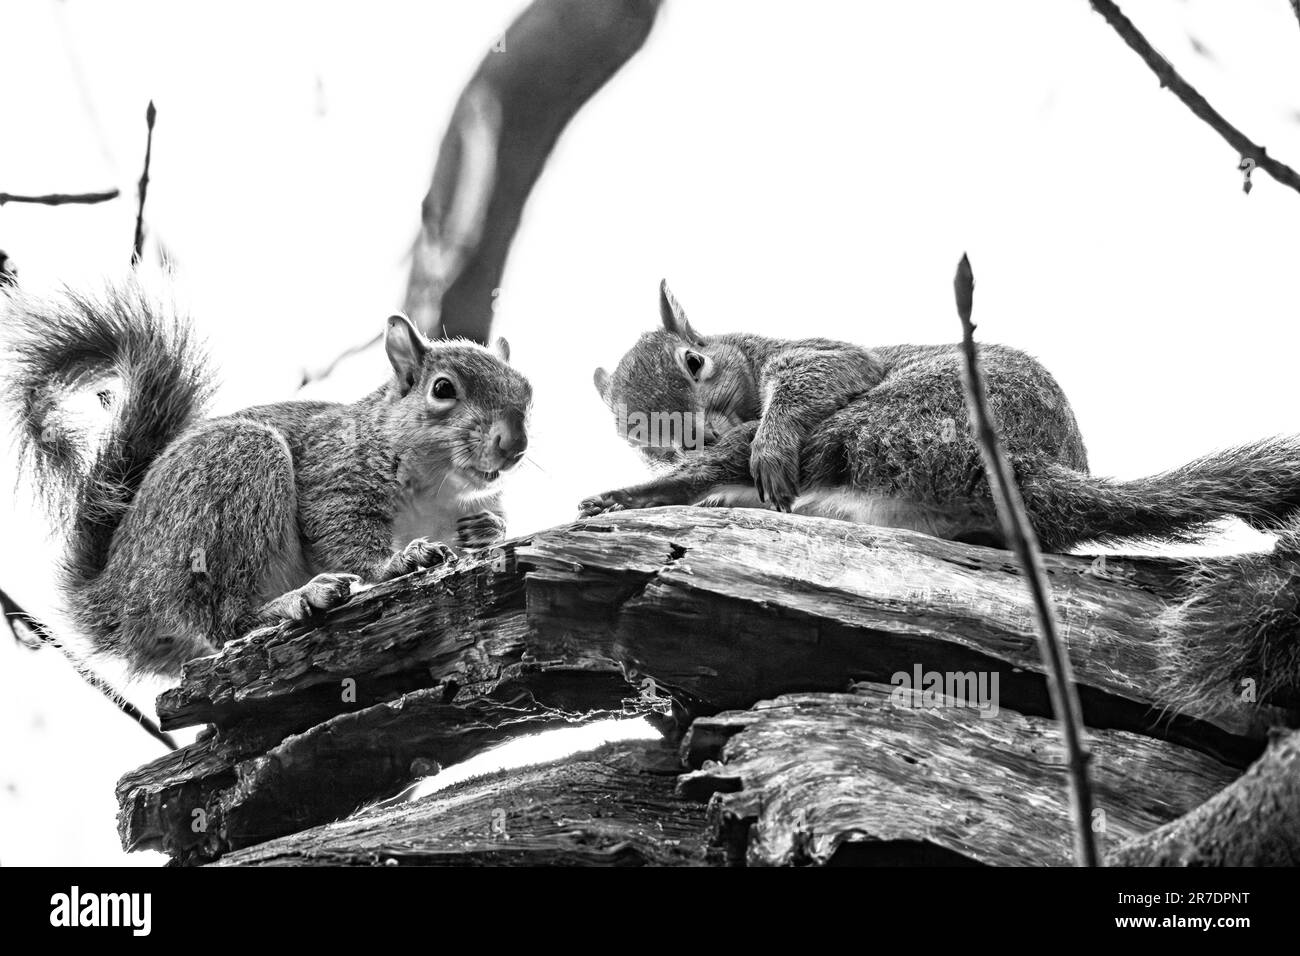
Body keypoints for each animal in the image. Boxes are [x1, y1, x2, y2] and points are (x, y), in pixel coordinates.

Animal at [2, 283, 531, 677]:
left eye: (527, 391)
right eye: (442, 389)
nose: (514, 444)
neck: (437, 488)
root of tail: (115, 589)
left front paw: (486, 530)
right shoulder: (335, 476)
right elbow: (343, 536)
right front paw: (398, 561)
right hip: (234, 480)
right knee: (225, 620)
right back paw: (296, 599)